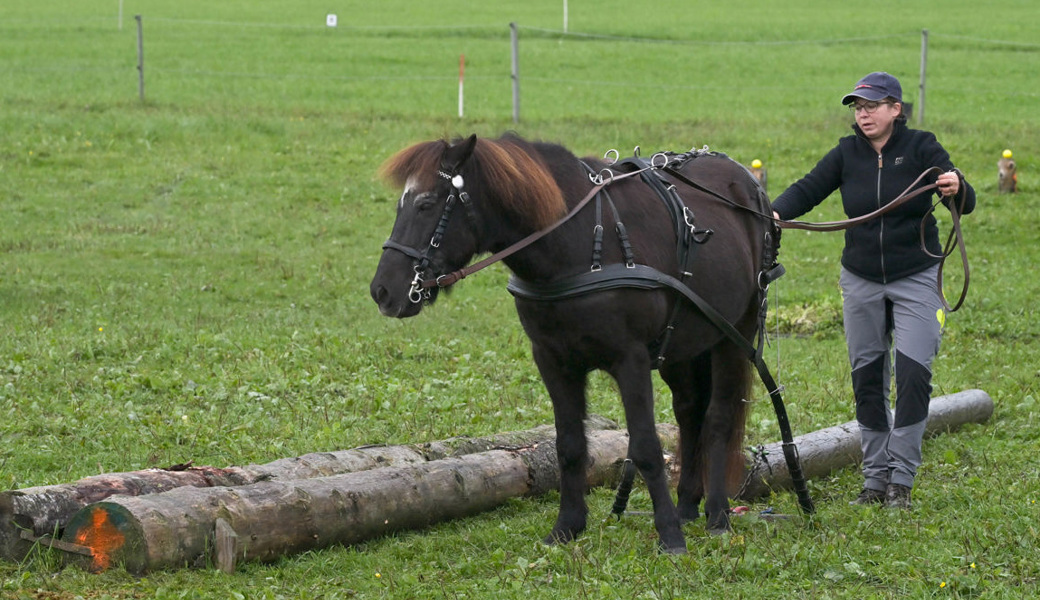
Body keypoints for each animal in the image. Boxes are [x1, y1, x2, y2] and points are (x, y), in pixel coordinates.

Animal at [370, 132, 777, 553]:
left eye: (425, 204)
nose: (382, 291)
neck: (578, 242)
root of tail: (746, 183)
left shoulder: (630, 359)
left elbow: (646, 446)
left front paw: (668, 535)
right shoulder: (553, 361)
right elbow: (568, 445)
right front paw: (567, 527)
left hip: (735, 332)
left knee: (718, 417)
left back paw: (717, 514)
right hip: (683, 345)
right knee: (690, 412)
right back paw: (687, 505)